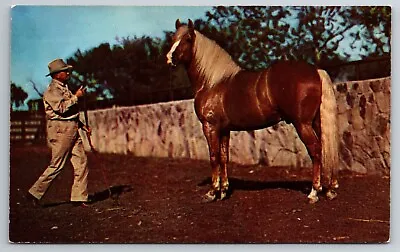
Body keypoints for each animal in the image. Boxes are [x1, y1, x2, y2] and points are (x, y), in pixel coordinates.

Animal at [166, 19, 338, 205]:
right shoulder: (224, 129)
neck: (212, 83)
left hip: (303, 124)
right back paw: (329, 190)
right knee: (324, 149)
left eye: (188, 39)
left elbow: (213, 157)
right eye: (173, 38)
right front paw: (224, 191)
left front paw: (212, 193)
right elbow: (224, 157)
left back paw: (314, 192)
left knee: (315, 150)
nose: (169, 58)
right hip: (316, 122)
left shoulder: (210, 127)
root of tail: (315, 71)